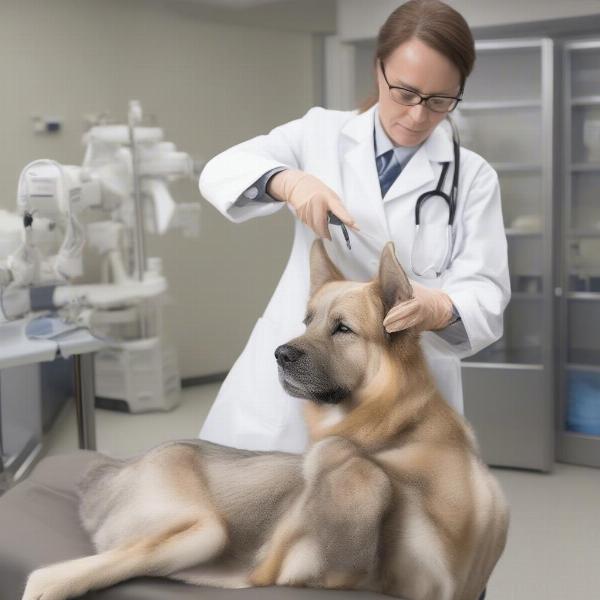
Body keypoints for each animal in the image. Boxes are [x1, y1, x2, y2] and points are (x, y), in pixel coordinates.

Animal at [24, 240, 510, 600]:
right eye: (308, 321)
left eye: (342, 328)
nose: (281, 353)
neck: (403, 427)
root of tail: (105, 473)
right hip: (199, 528)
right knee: (50, 575)